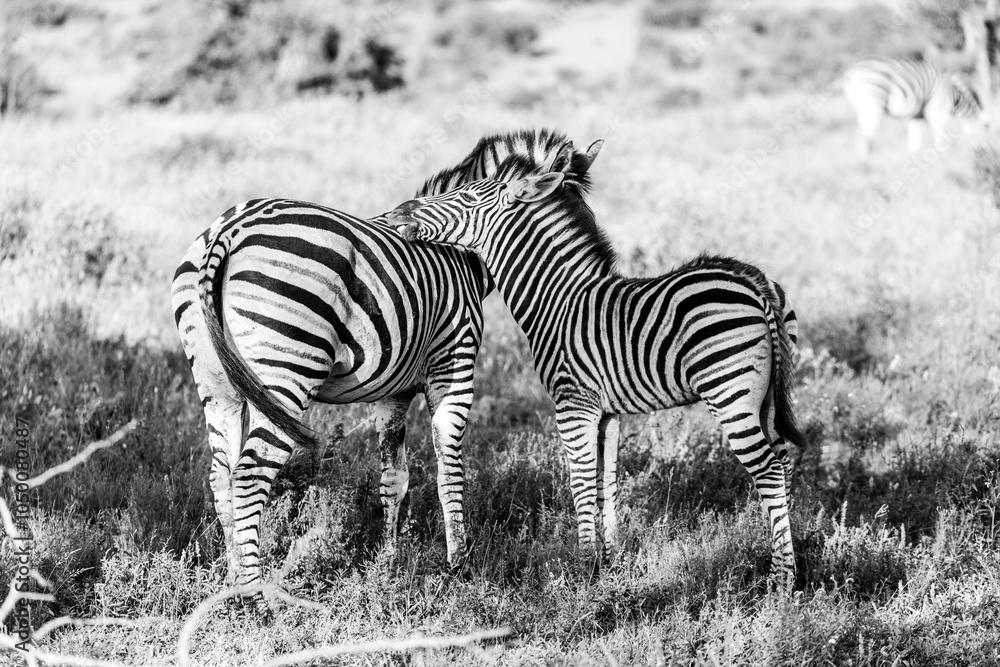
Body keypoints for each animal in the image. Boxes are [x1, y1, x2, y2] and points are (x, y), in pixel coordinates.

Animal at [170, 130, 603, 606]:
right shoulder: (454, 365)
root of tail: (230, 227)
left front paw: (389, 563)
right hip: (287, 374)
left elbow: (394, 476)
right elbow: (450, 468)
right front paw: (459, 563)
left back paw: (229, 584)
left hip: (218, 384)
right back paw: (255, 596)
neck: (462, 260)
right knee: (250, 473)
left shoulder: (393, 391)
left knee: (221, 476)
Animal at [387, 142, 807, 583]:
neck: (556, 300)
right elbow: (607, 479)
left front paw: (583, 566)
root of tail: (754, 284)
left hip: (731, 393)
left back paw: (781, 578)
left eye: (466, 196)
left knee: (768, 469)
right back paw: (783, 557)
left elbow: (581, 481)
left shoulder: (573, 403)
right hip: (766, 398)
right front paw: (609, 561)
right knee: (782, 462)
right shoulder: (607, 411)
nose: (398, 212)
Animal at [842, 56, 986, 158]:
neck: (954, 95)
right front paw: (944, 158)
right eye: (983, 133)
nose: (980, 153)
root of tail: (850, 72)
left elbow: (914, 138)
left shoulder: (917, 114)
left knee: (861, 134)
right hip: (874, 103)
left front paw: (913, 155)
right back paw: (867, 163)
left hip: (863, 108)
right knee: (863, 136)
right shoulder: (938, 108)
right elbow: (941, 135)